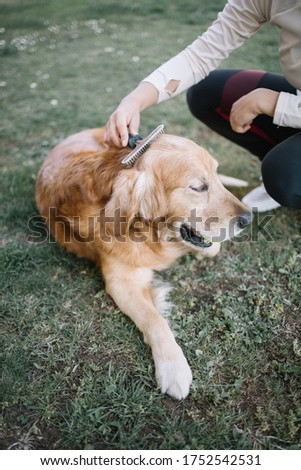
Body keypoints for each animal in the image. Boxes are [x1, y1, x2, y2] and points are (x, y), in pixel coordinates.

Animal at [35, 129, 251, 400]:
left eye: (213, 176)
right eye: (199, 187)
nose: (248, 218)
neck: (148, 232)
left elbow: (210, 248)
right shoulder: (121, 283)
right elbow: (155, 320)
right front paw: (173, 368)